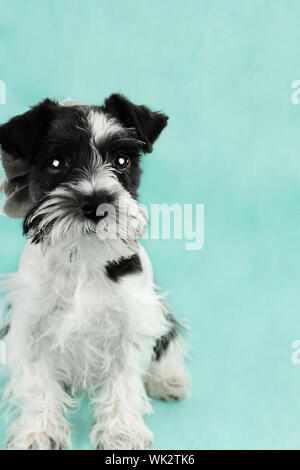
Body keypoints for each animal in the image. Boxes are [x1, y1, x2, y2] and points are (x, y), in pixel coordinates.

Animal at [0, 95, 190, 452]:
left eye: (122, 160)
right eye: (56, 163)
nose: (96, 202)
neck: (83, 259)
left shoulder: (131, 322)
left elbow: (123, 383)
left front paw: (121, 432)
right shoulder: (31, 326)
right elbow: (37, 383)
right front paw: (39, 432)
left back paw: (168, 379)